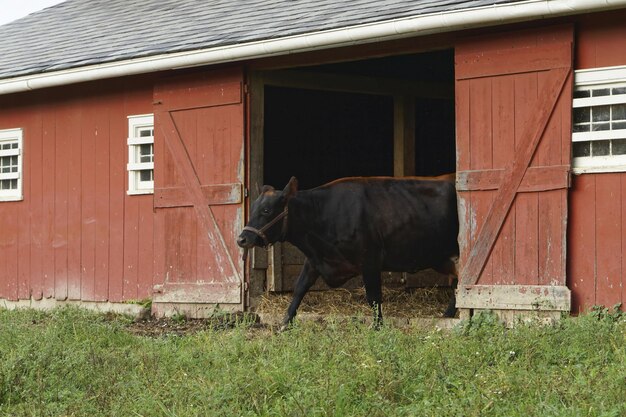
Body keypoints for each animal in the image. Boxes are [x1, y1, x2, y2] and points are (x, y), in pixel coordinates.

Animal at [236, 174, 456, 326]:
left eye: (266, 210)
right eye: (253, 208)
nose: (242, 238)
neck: (322, 214)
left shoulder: (370, 261)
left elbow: (374, 297)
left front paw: (378, 326)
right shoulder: (314, 259)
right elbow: (300, 288)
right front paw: (286, 322)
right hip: (442, 258)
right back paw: (448, 313)